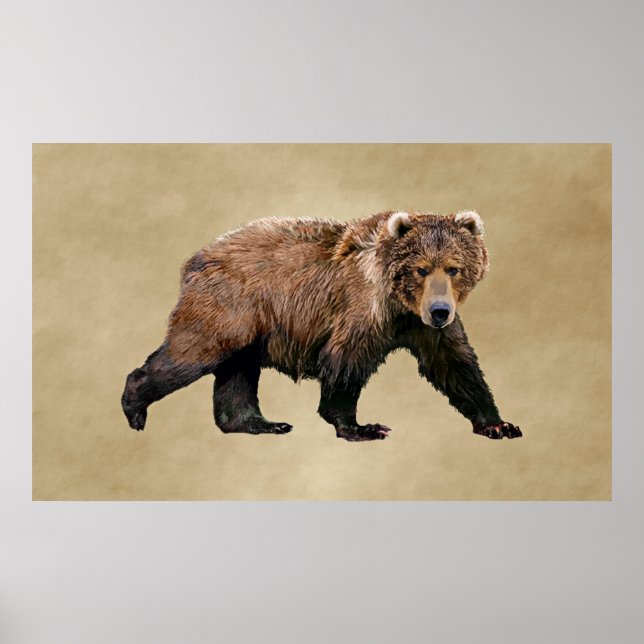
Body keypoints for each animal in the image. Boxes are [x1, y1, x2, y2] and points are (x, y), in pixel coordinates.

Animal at [121, 210, 521, 442]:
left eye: (454, 268)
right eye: (421, 268)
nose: (440, 310)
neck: (399, 303)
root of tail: (197, 257)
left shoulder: (423, 327)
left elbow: (456, 364)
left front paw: (499, 424)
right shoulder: (360, 308)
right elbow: (346, 360)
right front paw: (361, 427)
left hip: (253, 324)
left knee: (239, 371)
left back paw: (260, 423)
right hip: (231, 307)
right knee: (194, 351)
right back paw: (134, 405)